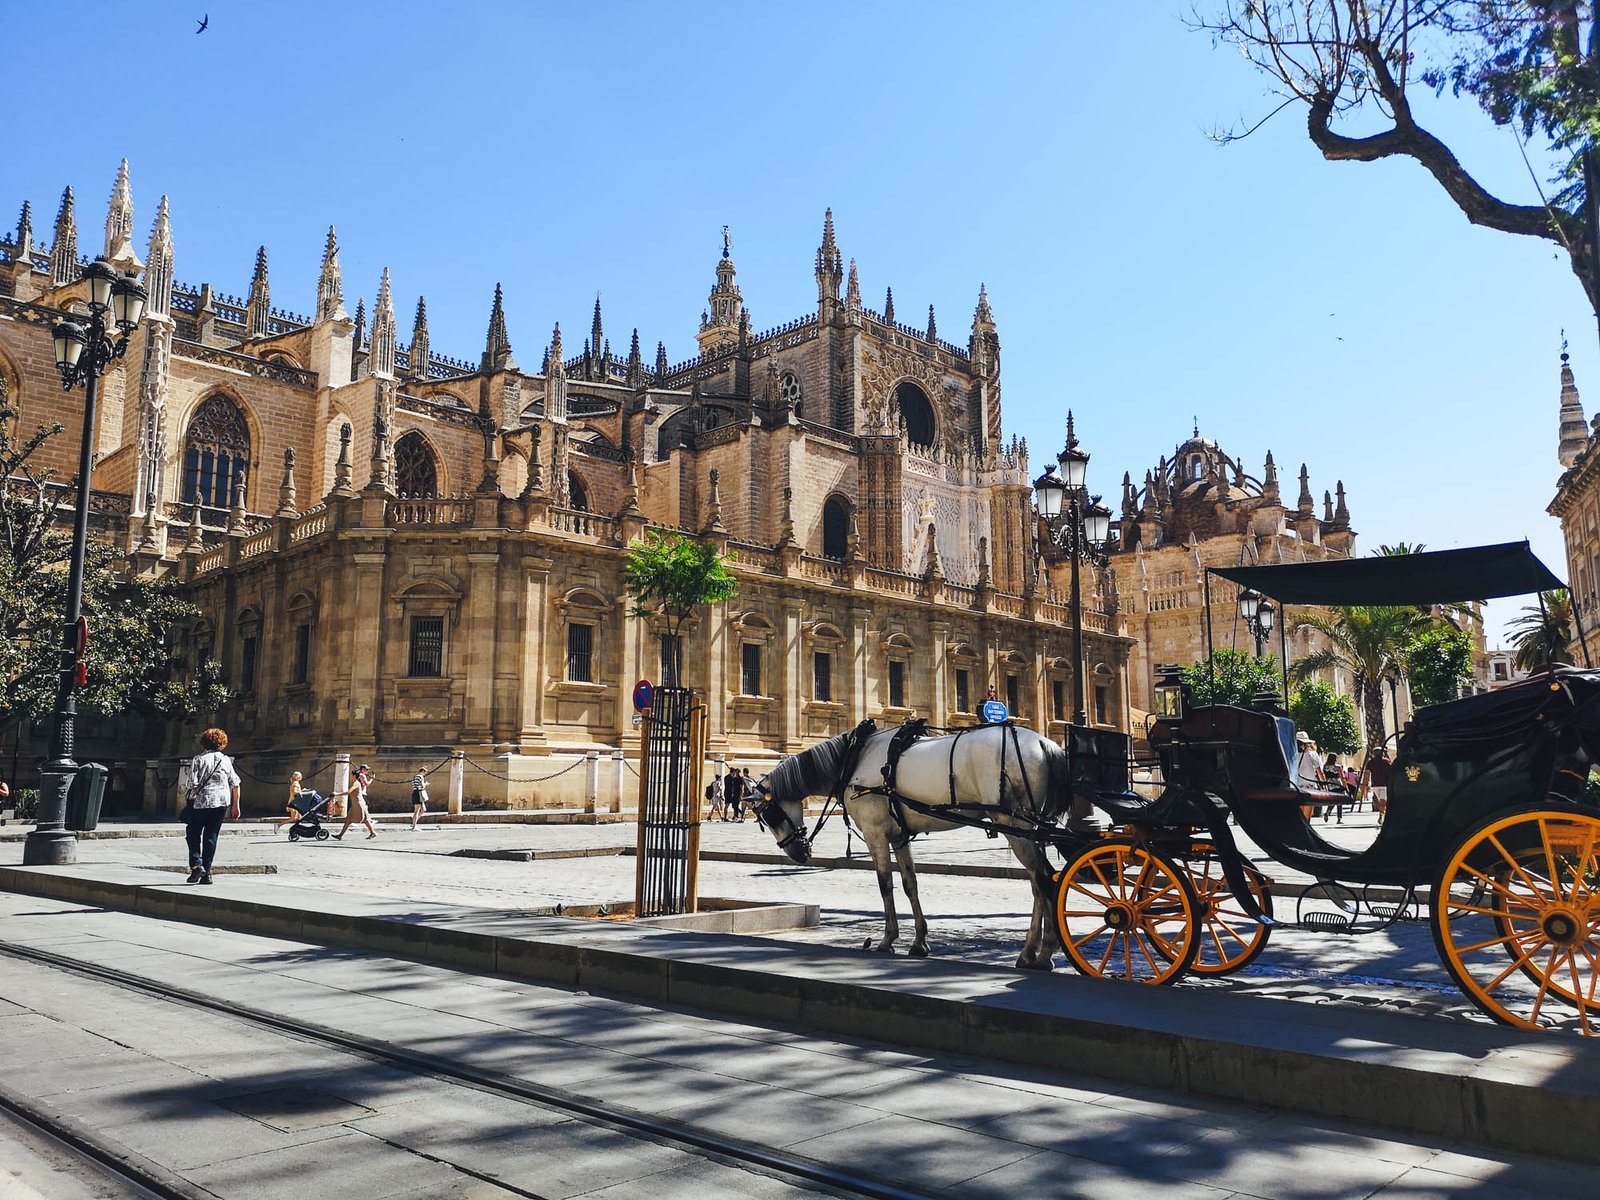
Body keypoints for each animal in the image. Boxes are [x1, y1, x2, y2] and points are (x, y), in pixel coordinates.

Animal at [745, 723, 1075, 966]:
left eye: (767, 815)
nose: (798, 853)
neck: (854, 758)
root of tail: (1045, 744)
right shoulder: (900, 836)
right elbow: (909, 883)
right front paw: (918, 942)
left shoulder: (876, 833)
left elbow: (884, 884)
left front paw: (887, 940)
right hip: (1032, 828)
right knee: (1040, 881)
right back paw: (1035, 952)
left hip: (1015, 825)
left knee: (1043, 879)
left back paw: (1041, 952)